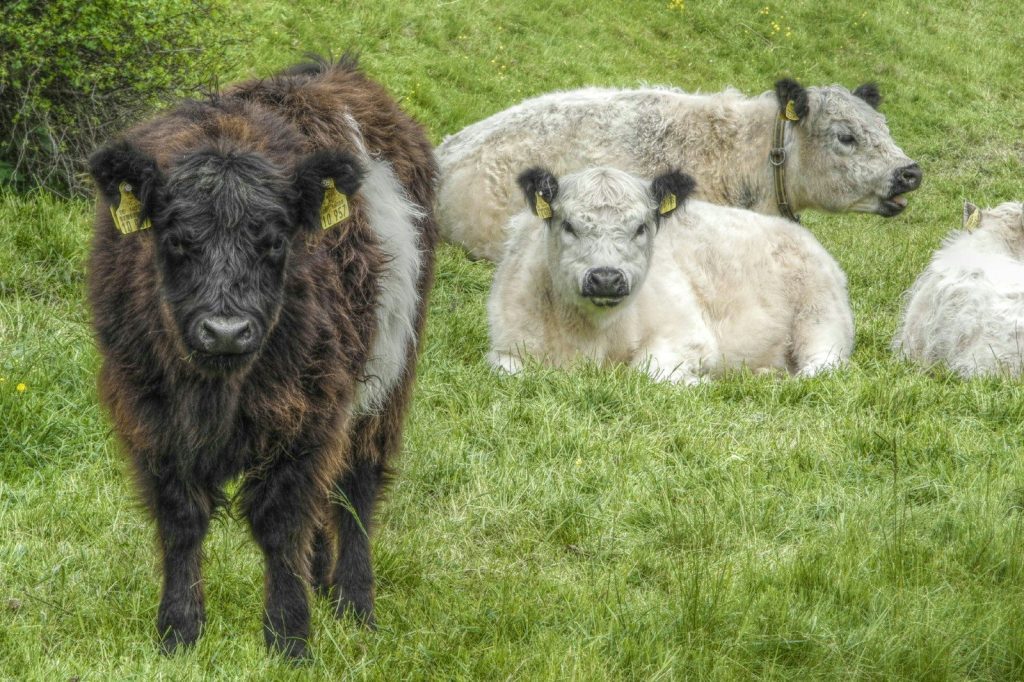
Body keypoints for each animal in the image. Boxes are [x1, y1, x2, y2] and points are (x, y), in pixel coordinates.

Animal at [86, 55, 437, 659]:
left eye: (273, 241)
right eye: (176, 239)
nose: (225, 331)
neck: (215, 395)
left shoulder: (309, 413)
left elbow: (281, 521)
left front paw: (289, 637)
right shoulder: (148, 416)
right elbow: (181, 520)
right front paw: (178, 631)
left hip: (387, 380)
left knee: (355, 490)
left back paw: (354, 604)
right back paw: (322, 581)